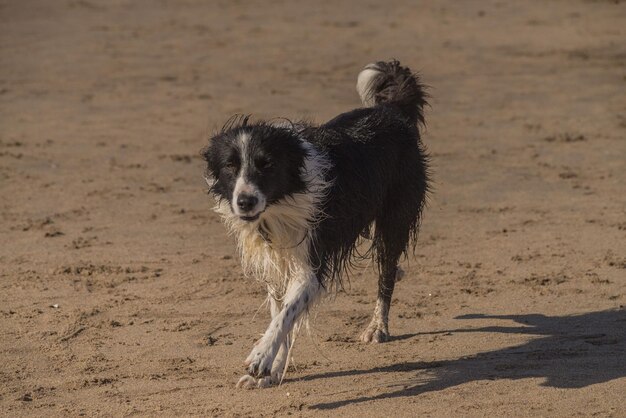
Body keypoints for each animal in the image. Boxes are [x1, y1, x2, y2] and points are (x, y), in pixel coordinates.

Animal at [202, 59, 426, 388]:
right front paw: (271, 372)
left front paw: (261, 358)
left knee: (386, 274)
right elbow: (280, 313)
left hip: (394, 219)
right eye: (230, 166)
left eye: (266, 164)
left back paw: (377, 328)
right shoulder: (275, 261)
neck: (279, 204)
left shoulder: (312, 261)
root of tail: (392, 111)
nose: (245, 202)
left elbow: (287, 313)